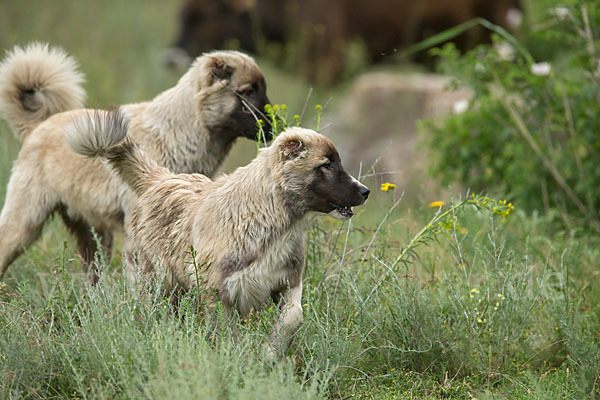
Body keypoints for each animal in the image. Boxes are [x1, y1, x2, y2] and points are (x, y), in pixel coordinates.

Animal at [0, 43, 270, 282]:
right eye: (248, 91)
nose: (274, 124)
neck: (181, 130)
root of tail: (37, 126)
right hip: (24, 222)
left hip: (94, 235)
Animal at [63, 110, 368, 356]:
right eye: (326, 165)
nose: (365, 191)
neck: (269, 216)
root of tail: (161, 179)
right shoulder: (217, 294)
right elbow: (227, 337)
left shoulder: (287, 284)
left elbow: (294, 318)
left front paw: (269, 353)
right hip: (156, 283)